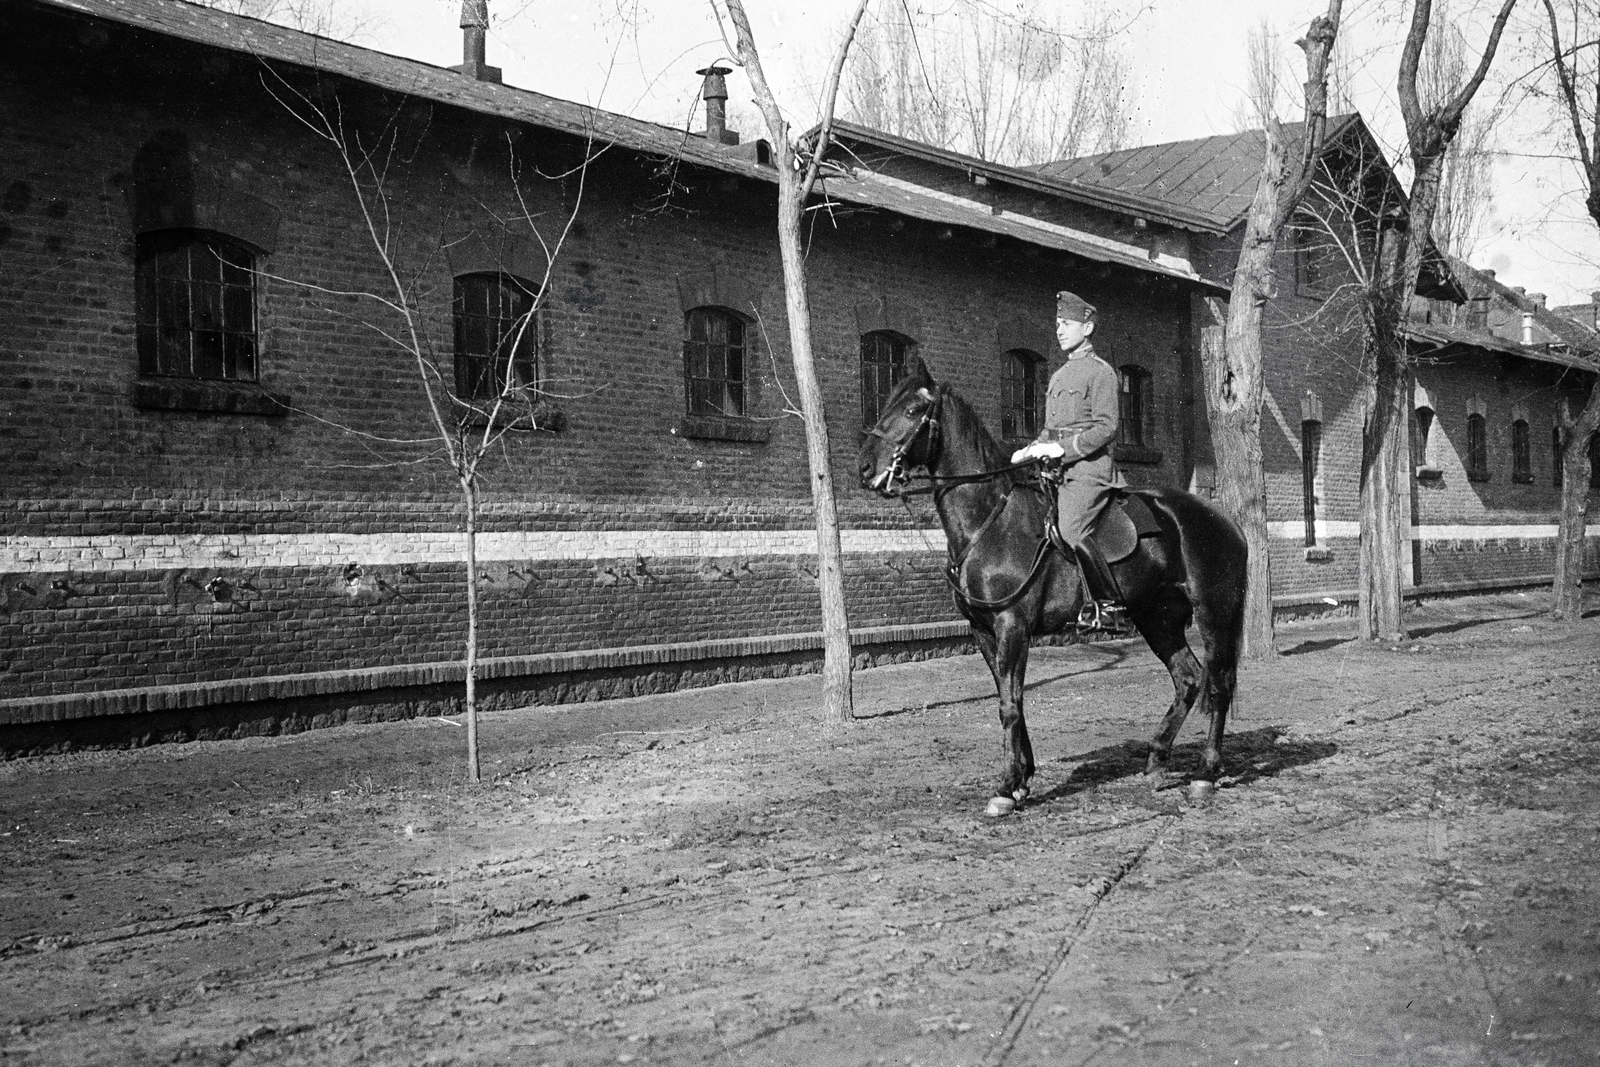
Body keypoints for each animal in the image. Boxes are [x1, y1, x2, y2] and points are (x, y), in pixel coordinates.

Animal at [864, 358, 1248, 819]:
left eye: (911, 411)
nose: (864, 468)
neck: (990, 521)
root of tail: (1224, 519)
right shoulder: (983, 630)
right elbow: (1011, 698)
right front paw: (1021, 780)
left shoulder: (1012, 626)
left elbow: (1009, 706)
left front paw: (1005, 786)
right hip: (1158, 618)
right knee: (1188, 678)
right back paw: (1156, 762)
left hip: (1214, 614)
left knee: (1218, 685)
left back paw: (1205, 773)